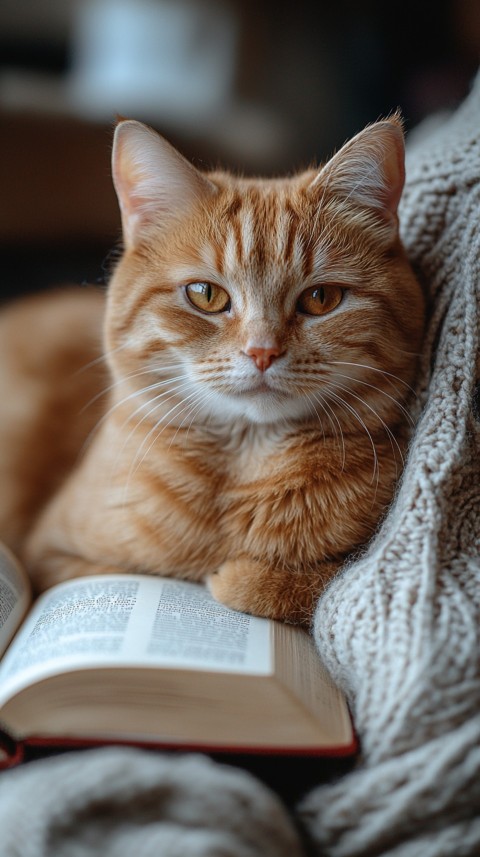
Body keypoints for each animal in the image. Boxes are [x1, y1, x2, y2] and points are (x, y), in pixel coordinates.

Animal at [0, 115, 424, 620]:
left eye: (321, 298)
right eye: (206, 295)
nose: (262, 351)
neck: (241, 469)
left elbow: (316, 582)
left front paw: (245, 578)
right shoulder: (51, 559)